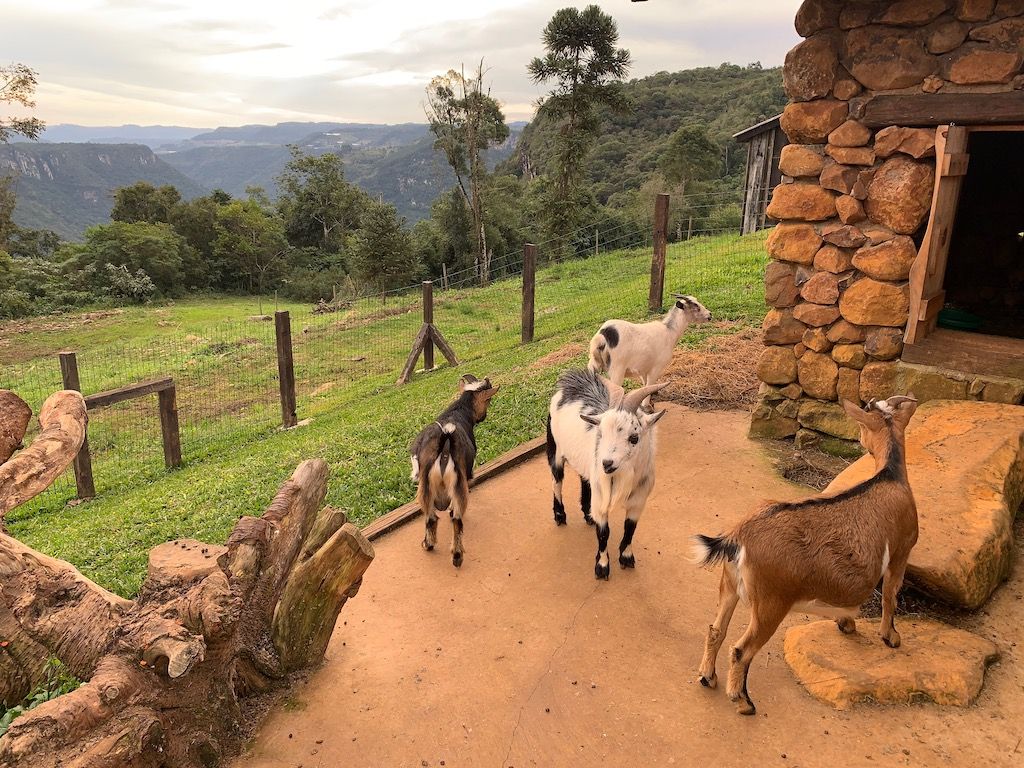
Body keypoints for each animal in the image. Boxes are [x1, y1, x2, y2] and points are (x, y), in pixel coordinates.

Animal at [411, 376, 499, 569]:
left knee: (430, 518)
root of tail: (445, 442)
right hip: (459, 482)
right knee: (457, 520)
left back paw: (428, 544)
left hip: (425, 487)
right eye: (488, 400)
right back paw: (457, 556)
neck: (456, 412)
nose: (483, 417)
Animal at [548, 370, 667, 581]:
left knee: (584, 478)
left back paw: (588, 515)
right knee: (557, 481)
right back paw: (560, 515)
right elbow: (604, 533)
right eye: (600, 433)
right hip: (556, 449)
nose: (607, 463)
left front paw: (626, 558)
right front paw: (602, 567)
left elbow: (630, 529)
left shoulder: (639, 500)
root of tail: (569, 382)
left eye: (634, 437)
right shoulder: (602, 498)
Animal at [692, 393, 917, 720]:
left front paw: (846, 624)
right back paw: (744, 702)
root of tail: (740, 535)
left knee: (715, 630)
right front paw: (891, 638)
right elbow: (891, 596)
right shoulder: (902, 550)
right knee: (741, 650)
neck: (890, 475)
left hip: (730, 584)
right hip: (771, 602)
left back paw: (708, 677)